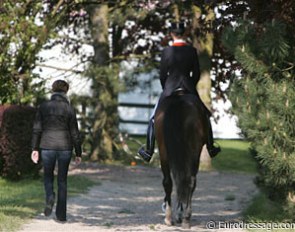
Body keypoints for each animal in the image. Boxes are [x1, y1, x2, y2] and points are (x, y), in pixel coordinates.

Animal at [155, 90, 208, 228]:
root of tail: (179, 100)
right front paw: (180, 213)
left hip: (164, 152)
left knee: (169, 182)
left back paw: (169, 217)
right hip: (194, 153)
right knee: (189, 181)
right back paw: (186, 218)